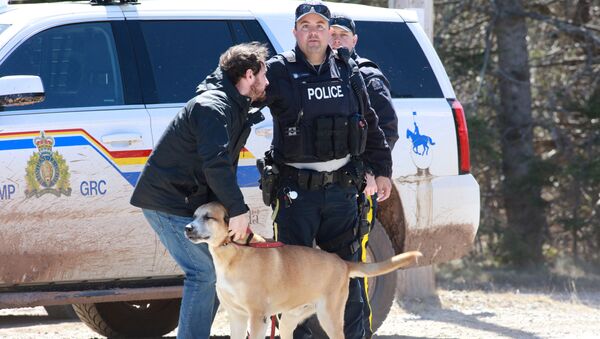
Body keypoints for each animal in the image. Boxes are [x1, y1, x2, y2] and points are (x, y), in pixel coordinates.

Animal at [184, 202, 422, 339]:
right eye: (194, 215)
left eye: (208, 217)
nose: (187, 228)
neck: (233, 251)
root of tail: (342, 262)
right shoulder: (237, 317)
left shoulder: (257, 317)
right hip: (289, 320)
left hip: (329, 318)